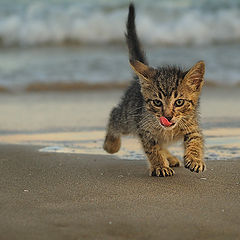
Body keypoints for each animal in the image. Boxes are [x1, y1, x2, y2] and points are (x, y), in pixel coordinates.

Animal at [102, 3, 205, 176]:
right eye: (157, 102)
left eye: (179, 102)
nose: (168, 116)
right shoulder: (145, 129)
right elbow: (152, 148)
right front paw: (159, 166)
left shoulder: (192, 124)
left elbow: (196, 140)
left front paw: (195, 159)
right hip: (128, 117)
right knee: (114, 114)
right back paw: (111, 144)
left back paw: (170, 157)